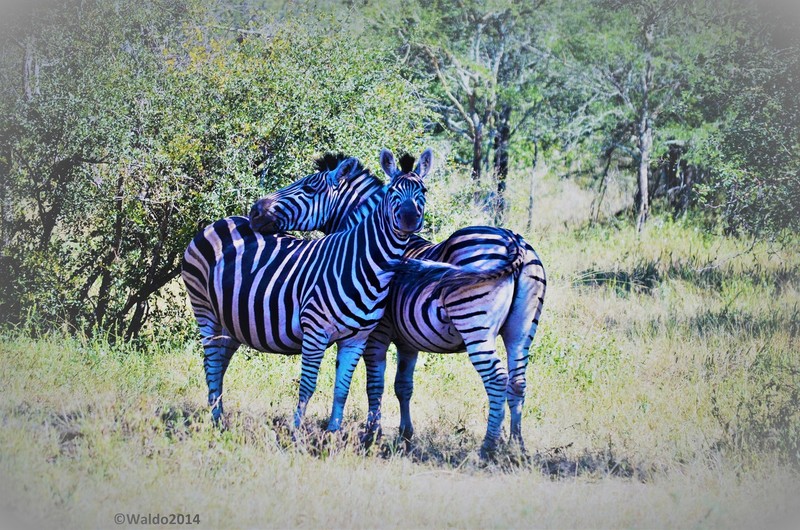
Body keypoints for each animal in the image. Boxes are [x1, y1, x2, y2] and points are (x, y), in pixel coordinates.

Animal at [182, 149, 468, 433]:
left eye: (424, 190)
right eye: (391, 191)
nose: (255, 212)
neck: (366, 262)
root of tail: (222, 221)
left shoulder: (358, 339)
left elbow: (343, 388)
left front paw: (334, 434)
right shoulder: (318, 332)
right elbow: (311, 386)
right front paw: (297, 432)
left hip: (232, 319)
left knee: (219, 361)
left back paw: (218, 415)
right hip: (205, 309)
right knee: (212, 361)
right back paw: (216, 419)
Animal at [250, 152, 547, 456]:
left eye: (309, 187)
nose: (255, 211)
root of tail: (514, 240)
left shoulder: (376, 334)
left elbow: (375, 384)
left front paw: (372, 435)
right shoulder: (408, 340)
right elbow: (403, 385)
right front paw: (405, 435)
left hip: (476, 325)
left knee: (497, 379)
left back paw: (487, 448)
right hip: (521, 329)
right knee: (518, 381)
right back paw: (516, 446)